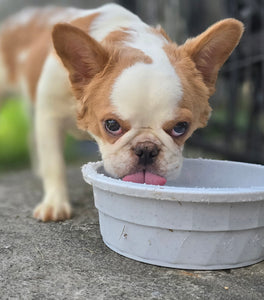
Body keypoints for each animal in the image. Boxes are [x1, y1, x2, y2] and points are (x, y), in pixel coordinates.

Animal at [0, 3, 243, 221]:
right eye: (112, 125)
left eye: (180, 128)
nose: (146, 149)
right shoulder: (50, 117)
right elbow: (54, 163)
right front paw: (55, 204)